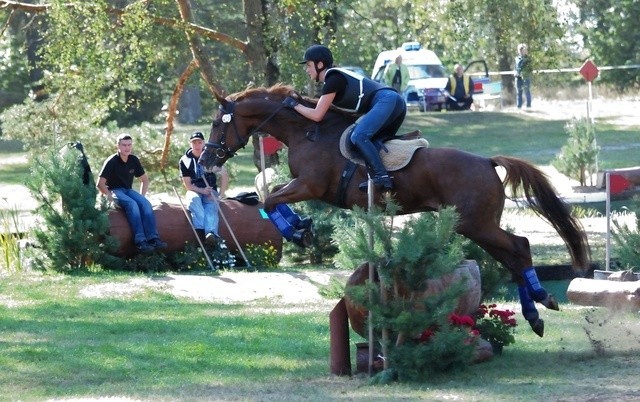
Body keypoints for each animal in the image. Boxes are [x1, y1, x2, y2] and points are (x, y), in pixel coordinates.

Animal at [199, 83, 592, 338]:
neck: (307, 131)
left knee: (519, 247)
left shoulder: (310, 185)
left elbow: (269, 199)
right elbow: (268, 198)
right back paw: (535, 315)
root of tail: (486, 161)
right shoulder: (306, 188)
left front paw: (299, 230)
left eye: (218, 123)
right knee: (512, 256)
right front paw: (302, 227)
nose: (204, 163)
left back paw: (542, 301)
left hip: (476, 224)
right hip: (476, 226)